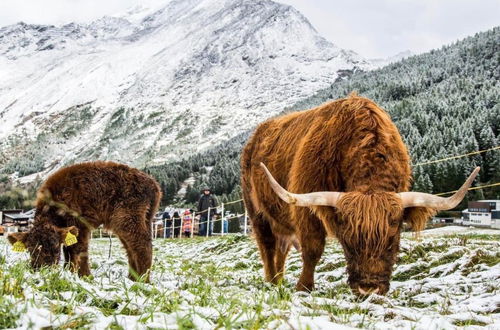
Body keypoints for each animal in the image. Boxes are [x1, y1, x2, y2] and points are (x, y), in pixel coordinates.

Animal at [7, 161, 160, 280]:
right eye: (30, 249)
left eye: (55, 248)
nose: (42, 270)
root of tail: (153, 184)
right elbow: (68, 250)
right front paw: (71, 272)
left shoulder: (80, 223)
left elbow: (78, 249)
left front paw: (84, 276)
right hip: (141, 219)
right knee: (131, 247)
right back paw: (132, 278)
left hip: (126, 217)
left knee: (140, 244)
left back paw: (142, 280)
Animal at [242, 94, 480, 296]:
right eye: (348, 240)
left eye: (392, 238)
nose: (369, 289)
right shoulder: (306, 207)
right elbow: (313, 249)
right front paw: (304, 287)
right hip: (256, 213)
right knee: (267, 245)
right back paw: (272, 282)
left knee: (281, 248)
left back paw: (279, 281)